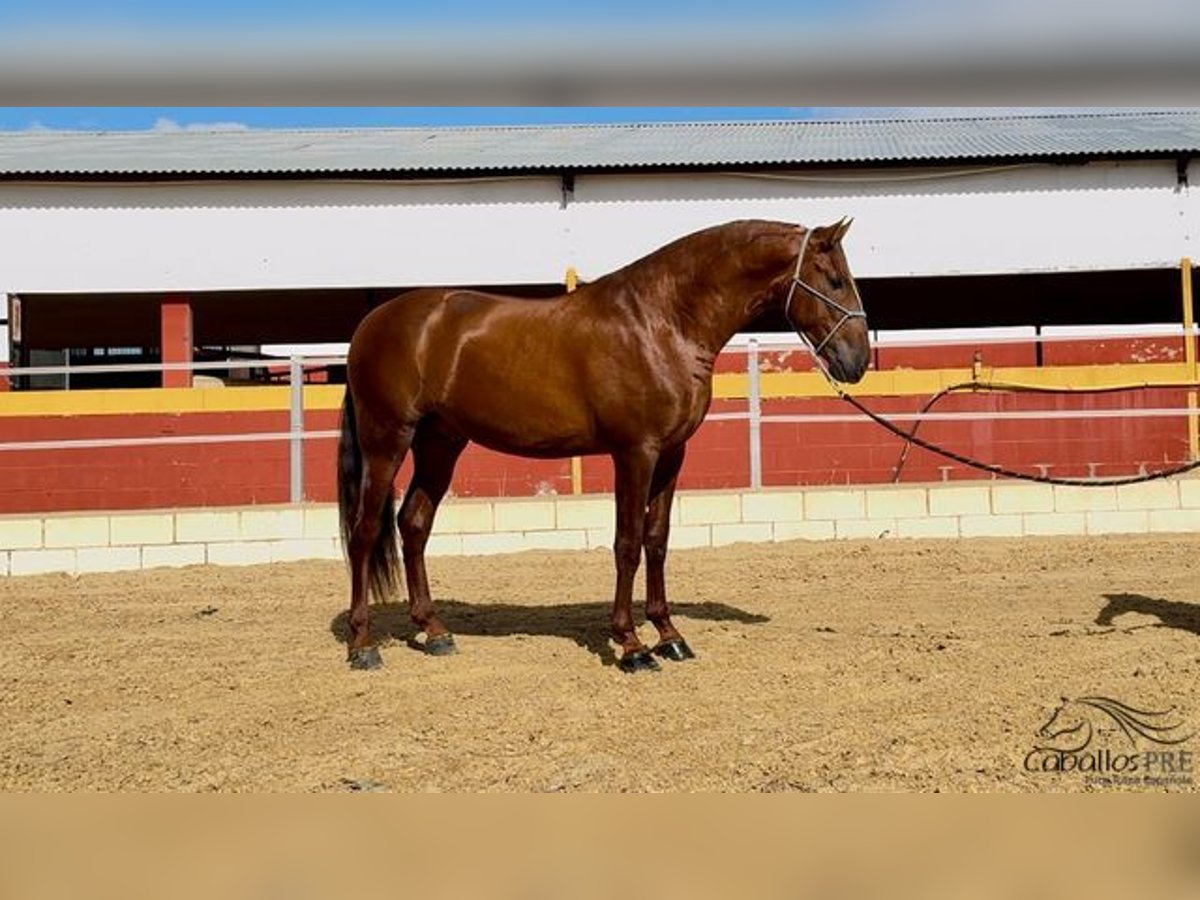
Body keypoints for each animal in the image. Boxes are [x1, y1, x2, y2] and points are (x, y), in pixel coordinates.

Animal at [338, 217, 873, 672]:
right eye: (834, 280)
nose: (859, 360)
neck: (661, 322)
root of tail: (373, 324)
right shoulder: (635, 452)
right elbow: (627, 543)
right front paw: (632, 645)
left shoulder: (672, 454)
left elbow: (657, 540)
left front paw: (670, 636)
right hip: (387, 439)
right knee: (365, 532)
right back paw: (363, 644)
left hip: (441, 442)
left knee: (414, 524)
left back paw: (434, 632)